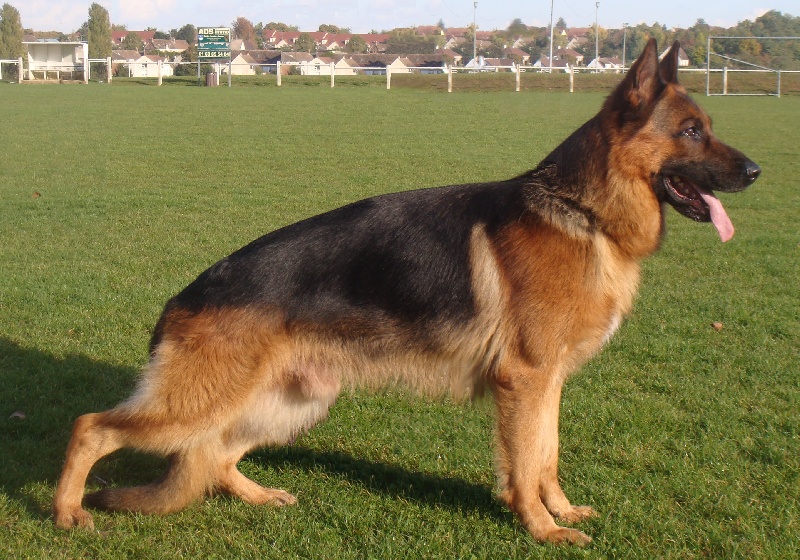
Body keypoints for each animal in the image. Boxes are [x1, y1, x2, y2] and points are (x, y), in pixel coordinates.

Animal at [53, 40, 760, 545]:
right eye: (691, 131)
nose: (756, 170)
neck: (583, 213)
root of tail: (183, 298)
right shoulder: (524, 382)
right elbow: (524, 465)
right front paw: (541, 529)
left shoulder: (548, 384)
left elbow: (547, 457)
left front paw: (558, 510)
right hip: (201, 402)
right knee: (93, 427)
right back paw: (66, 513)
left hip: (289, 401)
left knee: (216, 457)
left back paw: (257, 495)